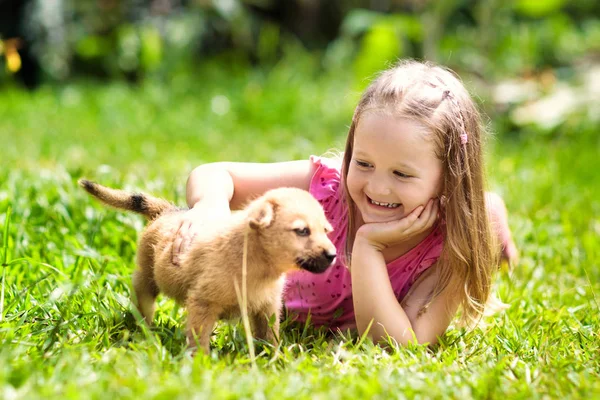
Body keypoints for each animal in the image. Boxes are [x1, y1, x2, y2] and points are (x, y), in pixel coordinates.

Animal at [78, 180, 338, 354]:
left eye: (325, 230)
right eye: (302, 231)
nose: (333, 255)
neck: (254, 261)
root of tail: (167, 211)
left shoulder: (267, 308)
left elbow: (269, 337)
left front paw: (274, 359)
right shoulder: (203, 304)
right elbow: (199, 338)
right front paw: (200, 363)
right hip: (146, 279)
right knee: (143, 303)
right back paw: (143, 331)